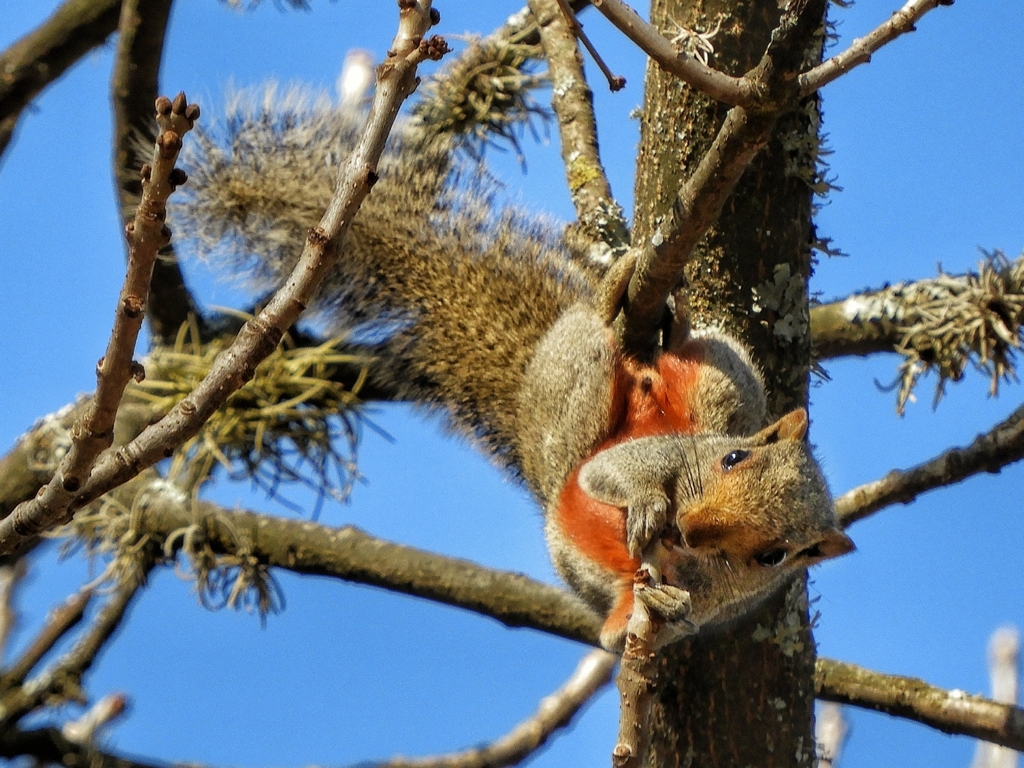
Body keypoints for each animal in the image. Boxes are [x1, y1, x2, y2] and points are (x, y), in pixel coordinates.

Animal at [178, 87, 856, 651]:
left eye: (774, 556)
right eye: (732, 458)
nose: (688, 526)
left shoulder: (724, 595)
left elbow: (678, 617)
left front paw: (666, 609)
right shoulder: (662, 455)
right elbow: (612, 474)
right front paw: (643, 504)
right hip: (629, 388)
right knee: (613, 370)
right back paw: (625, 306)